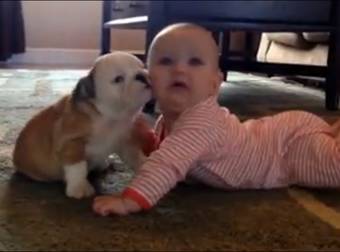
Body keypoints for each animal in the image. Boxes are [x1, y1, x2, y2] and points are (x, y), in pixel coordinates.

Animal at [12, 51, 153, 199]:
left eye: (143, 67)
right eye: (118, 79)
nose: (141, 75)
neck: (108, 117)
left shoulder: (124, 141)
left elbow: (134, 156)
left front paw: (146, 164)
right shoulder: (72, 142)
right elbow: (77, 166)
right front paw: (79, 187)